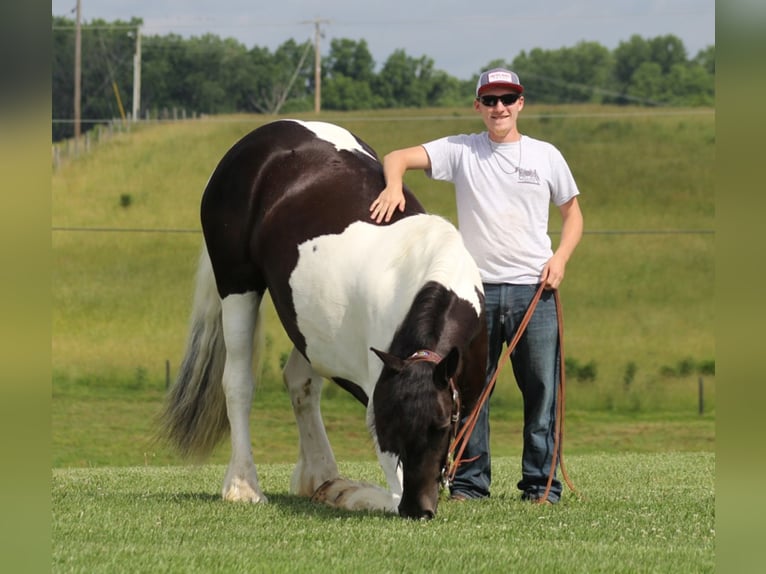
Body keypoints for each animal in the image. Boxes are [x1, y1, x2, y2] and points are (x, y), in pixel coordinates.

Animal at [161, 119, 486, 520]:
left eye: (440, 426)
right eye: (389, 428)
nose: (417, 509)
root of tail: (261, 137)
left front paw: (335, 487)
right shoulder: (379, 397)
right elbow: (389, 493)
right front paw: (350, 493)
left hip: (306, 327)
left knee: (299, 382)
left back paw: (319, 475)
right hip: (237, 285)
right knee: (237, 383)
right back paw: (244, 485)